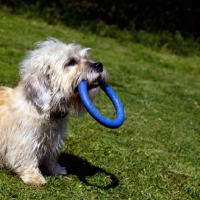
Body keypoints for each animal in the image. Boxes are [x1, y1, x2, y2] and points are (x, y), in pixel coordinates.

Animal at [0, 38, 108, 185]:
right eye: (71, 62)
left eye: (86, 57)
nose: (99, 65)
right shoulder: (25, 141)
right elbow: (27, 158)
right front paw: (35, 177)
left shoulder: (52, 140)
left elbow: (51, 157)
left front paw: (56, 169)